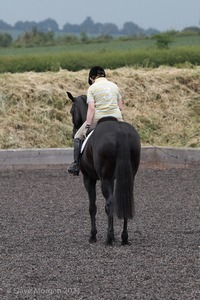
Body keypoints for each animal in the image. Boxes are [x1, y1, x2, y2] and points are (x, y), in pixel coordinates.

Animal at [67, 92, 141, 246]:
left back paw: (109, 238)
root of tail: (120, 132)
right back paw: (124, 238)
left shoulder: (89, 179)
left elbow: (92, 207)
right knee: (124, 200)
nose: (73, 132)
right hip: (128, 176)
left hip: (105, 178)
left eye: (71, 111)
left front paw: (93, 235)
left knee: (110, 204)